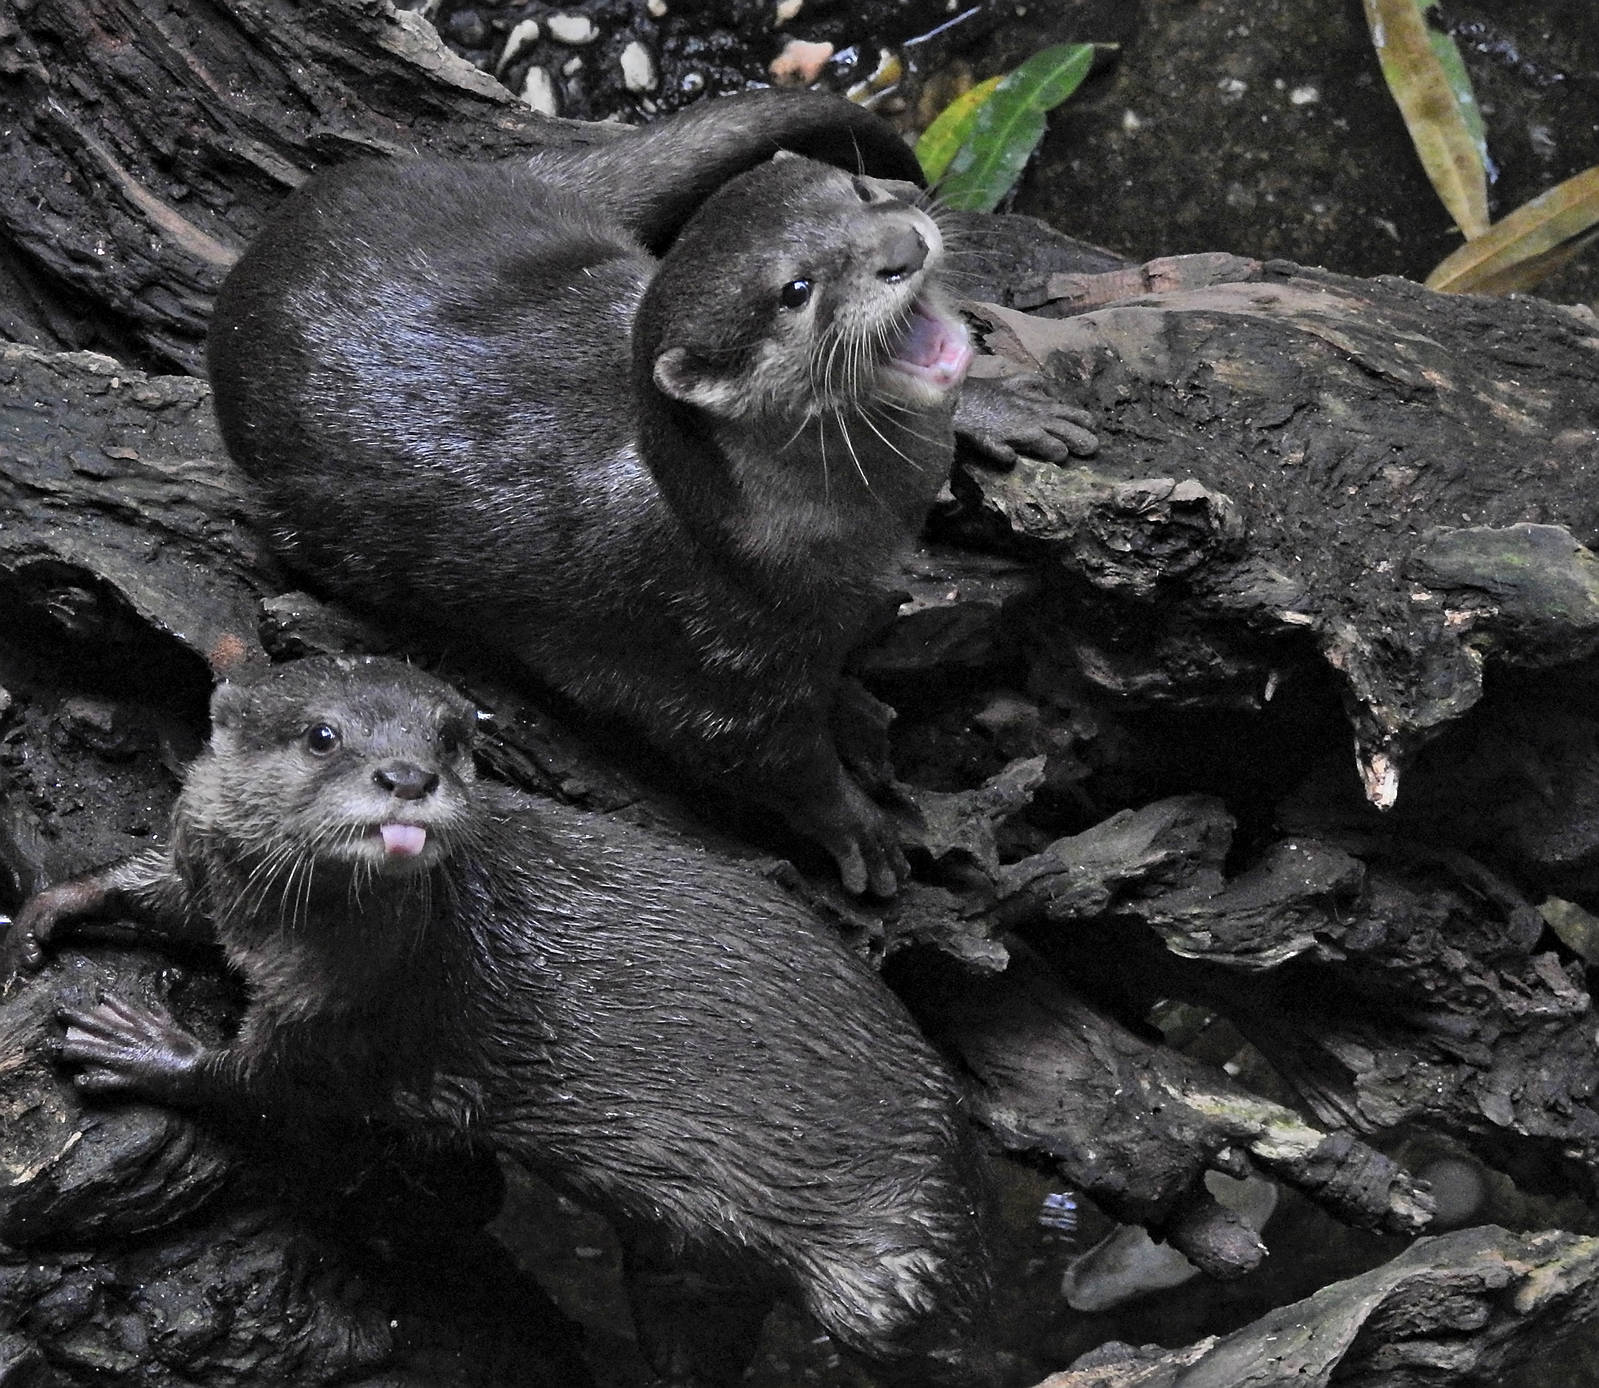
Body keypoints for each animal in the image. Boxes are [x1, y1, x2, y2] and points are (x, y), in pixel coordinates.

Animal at [3, 656, 1013, 1388]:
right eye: (322, 735)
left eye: (450, 740)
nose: (407, 776)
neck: (287, 932)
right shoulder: (210, 877)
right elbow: (163, 893)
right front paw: (52, 907)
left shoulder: (369, 1006)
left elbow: (267, 1084)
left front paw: (140, 1046)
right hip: (684, 1261)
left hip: (898, 1257)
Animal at [206, 91, 1090, 898]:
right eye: (796, 291)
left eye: (861, 193)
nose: (904, 242)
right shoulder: (709, 645)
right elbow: (766, 756)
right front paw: (859, 828)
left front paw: (1001, 411)